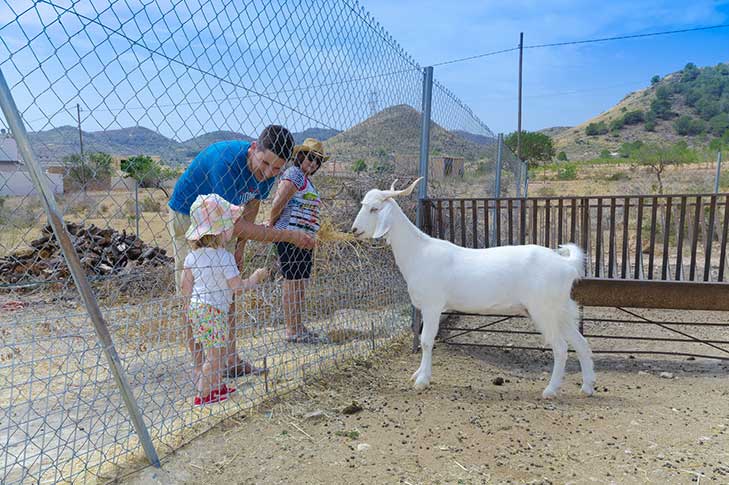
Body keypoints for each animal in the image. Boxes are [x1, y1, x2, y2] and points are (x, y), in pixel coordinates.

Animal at [350, 178, 596, 398]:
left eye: (374, 208)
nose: (354, 230)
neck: (419, 253)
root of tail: (566, 264)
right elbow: (422, 339)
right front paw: (418, 374)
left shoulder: (433, 305)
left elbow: (427, 340)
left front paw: (422, 380)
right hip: (561, 309)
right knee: (582, 344)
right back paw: (587, 387)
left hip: (543, 310)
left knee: (561, 347)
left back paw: (550, 390)